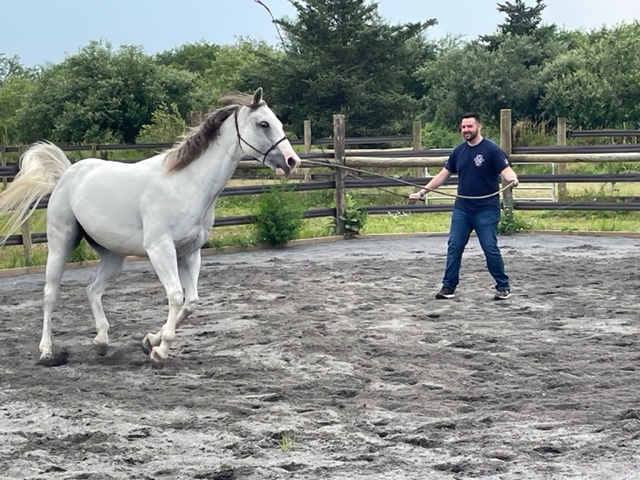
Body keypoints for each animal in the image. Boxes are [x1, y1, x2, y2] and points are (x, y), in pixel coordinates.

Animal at [0, 88, 301, 366]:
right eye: (264, 124)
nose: (292, 161)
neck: (186, 185)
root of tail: (68, 173)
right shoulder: (160, 249)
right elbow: (176, 296)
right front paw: (160, 350)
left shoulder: (190, 253)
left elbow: (191, 302)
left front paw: (150, 341)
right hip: (61, 243)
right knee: (50, 294)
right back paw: (47, 352)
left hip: (113, 255)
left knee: (93, 289)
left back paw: (101, 342)